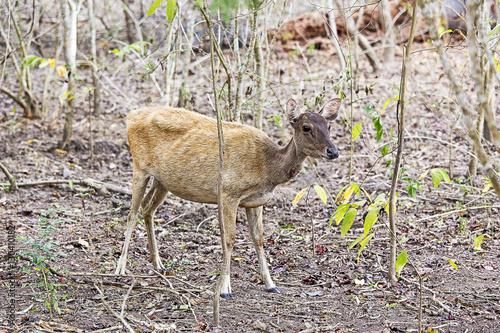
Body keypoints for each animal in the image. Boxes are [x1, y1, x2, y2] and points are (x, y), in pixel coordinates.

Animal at [114, 97, 342, 296]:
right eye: (306, 127)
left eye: (329, 126)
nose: (333, 151)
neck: (268, 168)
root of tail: (131, 116)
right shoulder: (228, 192)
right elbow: (229, 239)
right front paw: (224, 289)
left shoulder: (256, 201)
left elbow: (258, 238)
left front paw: (271, 284)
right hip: (139, 166)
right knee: (132, 214)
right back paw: (120, 269)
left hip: (163, 180)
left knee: (147, 208)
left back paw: (158, 263)